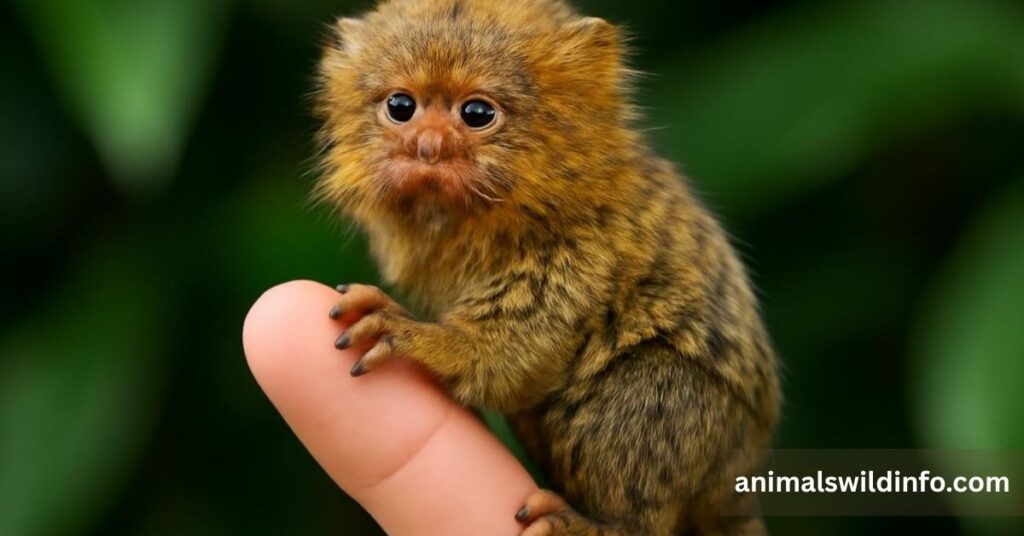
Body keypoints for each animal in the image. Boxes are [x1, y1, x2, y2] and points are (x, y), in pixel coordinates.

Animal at [313, 0, 780, 534]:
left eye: (477, 114)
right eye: (400, 107)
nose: (428, 145)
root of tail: (736, 483)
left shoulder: (586, 248)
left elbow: (510, 356)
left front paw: (419, 337)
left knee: (651, 382)